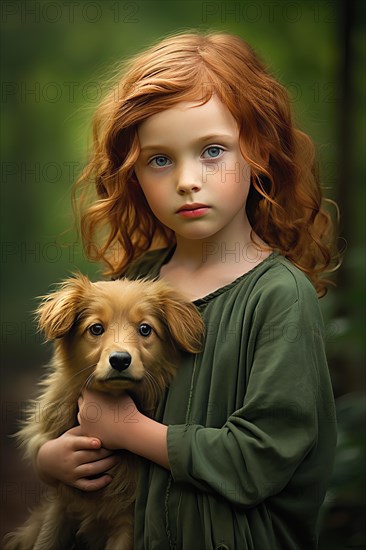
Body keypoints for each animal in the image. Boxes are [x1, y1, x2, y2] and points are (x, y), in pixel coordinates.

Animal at [5, 276, 206, 550]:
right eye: (96, 329)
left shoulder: (128, 523)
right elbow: (46, 541)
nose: (120, 360)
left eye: (145, 329)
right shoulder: (60, 507)